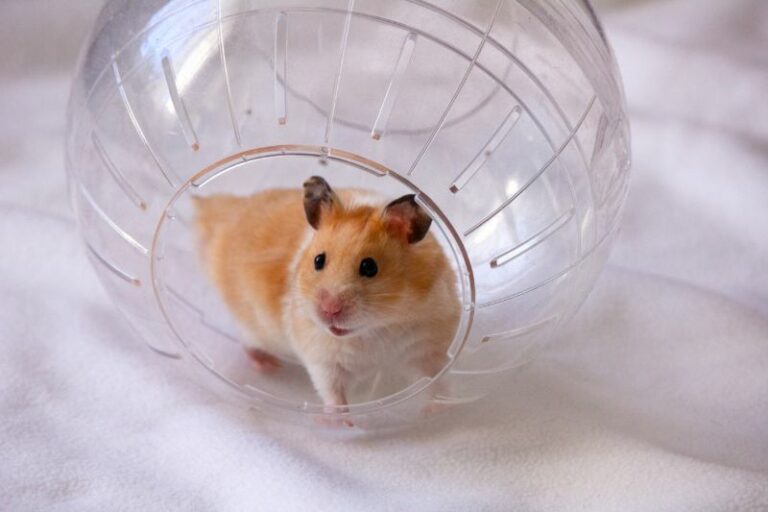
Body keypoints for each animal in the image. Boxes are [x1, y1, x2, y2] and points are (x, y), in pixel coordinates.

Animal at [193, 176, 460, 411]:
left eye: (369, 267)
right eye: (318, 260)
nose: (328, 310)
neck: (377, 327)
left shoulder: (428, 345)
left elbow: (436, 380)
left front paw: (436, 410)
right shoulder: (323, 357)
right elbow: (331, 389)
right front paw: (342, 422)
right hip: (252, 323)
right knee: (248, 343)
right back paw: (268, 365)